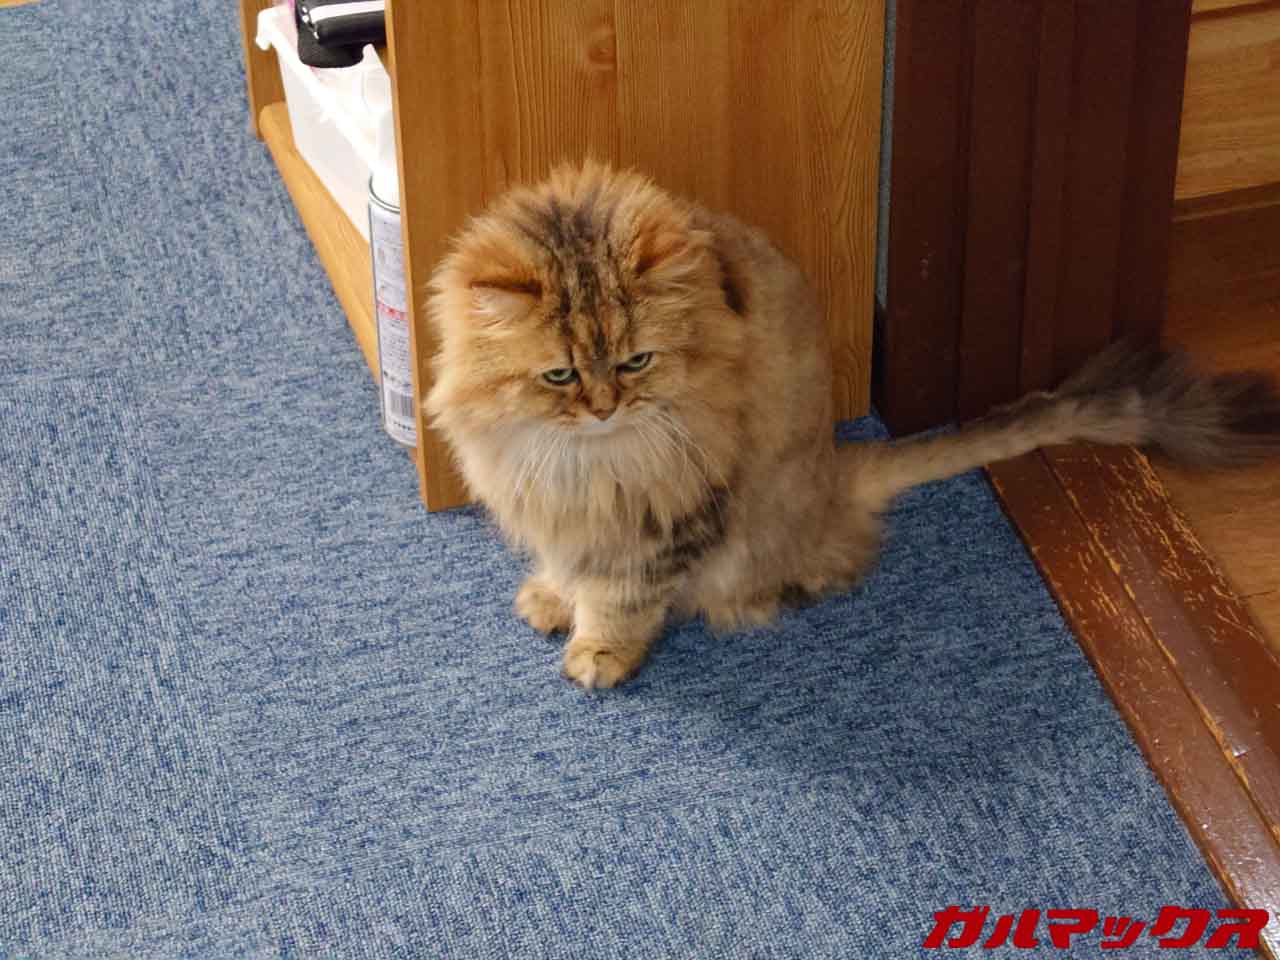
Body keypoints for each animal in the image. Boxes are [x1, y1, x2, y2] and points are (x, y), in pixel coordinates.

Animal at [425, 160, 1280, 689]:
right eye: (560, 376)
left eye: (636, 362)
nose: (604, 408)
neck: (580, 460)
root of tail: (838, 464)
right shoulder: (559, 503)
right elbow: (569, 565)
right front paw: (551, 596)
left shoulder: (673, 512)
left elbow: (623, 596)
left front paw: (599, 651)